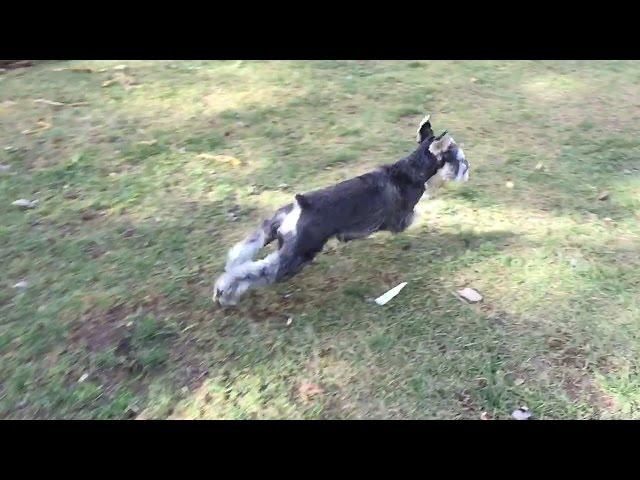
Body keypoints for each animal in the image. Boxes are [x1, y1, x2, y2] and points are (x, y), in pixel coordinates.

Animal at [212, 114, 468, 306]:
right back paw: (225, 293)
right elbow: (419, 212)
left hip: (271, 230)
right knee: (258, 271)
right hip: (298, 255)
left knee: (242, 253)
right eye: (459, 158)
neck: (410, 169)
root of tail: (299, 207)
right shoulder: (403, 218)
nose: (467, 171)